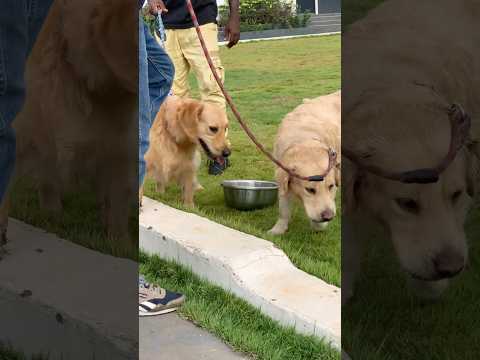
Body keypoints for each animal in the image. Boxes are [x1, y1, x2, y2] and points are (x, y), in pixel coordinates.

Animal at [270, 91, 342, 235]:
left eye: (331, 186)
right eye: (310, 190)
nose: (328, 216)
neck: (304, 140)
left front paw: (319, 225)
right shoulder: (283, 178)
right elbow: (283, 208)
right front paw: (278, 229)